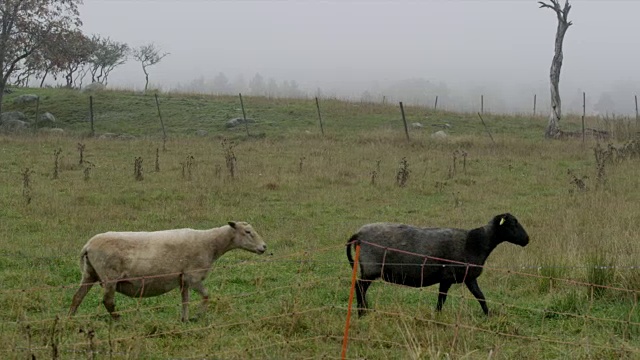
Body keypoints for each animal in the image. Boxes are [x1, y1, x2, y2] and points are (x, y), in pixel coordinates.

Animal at [69, 221, 268, 322]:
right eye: (248, 231)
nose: (264, 247)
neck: (211, 243)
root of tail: (88, 245)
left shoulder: (183, 279)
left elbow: (185, 300)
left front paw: (185, 319)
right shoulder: (193, 276)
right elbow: (206, 296)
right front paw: (198, 316)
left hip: (89, 273)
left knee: (77, 297)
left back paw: (69, 319)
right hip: (109, 277)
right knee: (108, 301)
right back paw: (118, 319)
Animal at [348, 212, 528, 316]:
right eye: (513, 223)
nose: (527, 240)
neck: (477, 242)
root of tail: (358, 234)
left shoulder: (469, 278)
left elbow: (480, 296)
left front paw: (488, 315)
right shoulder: (447, 277)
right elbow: (442, 298)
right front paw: (438, 315)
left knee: (360, 287)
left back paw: (365, 309)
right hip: (370, 269)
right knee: (359, 287)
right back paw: (362, 312)